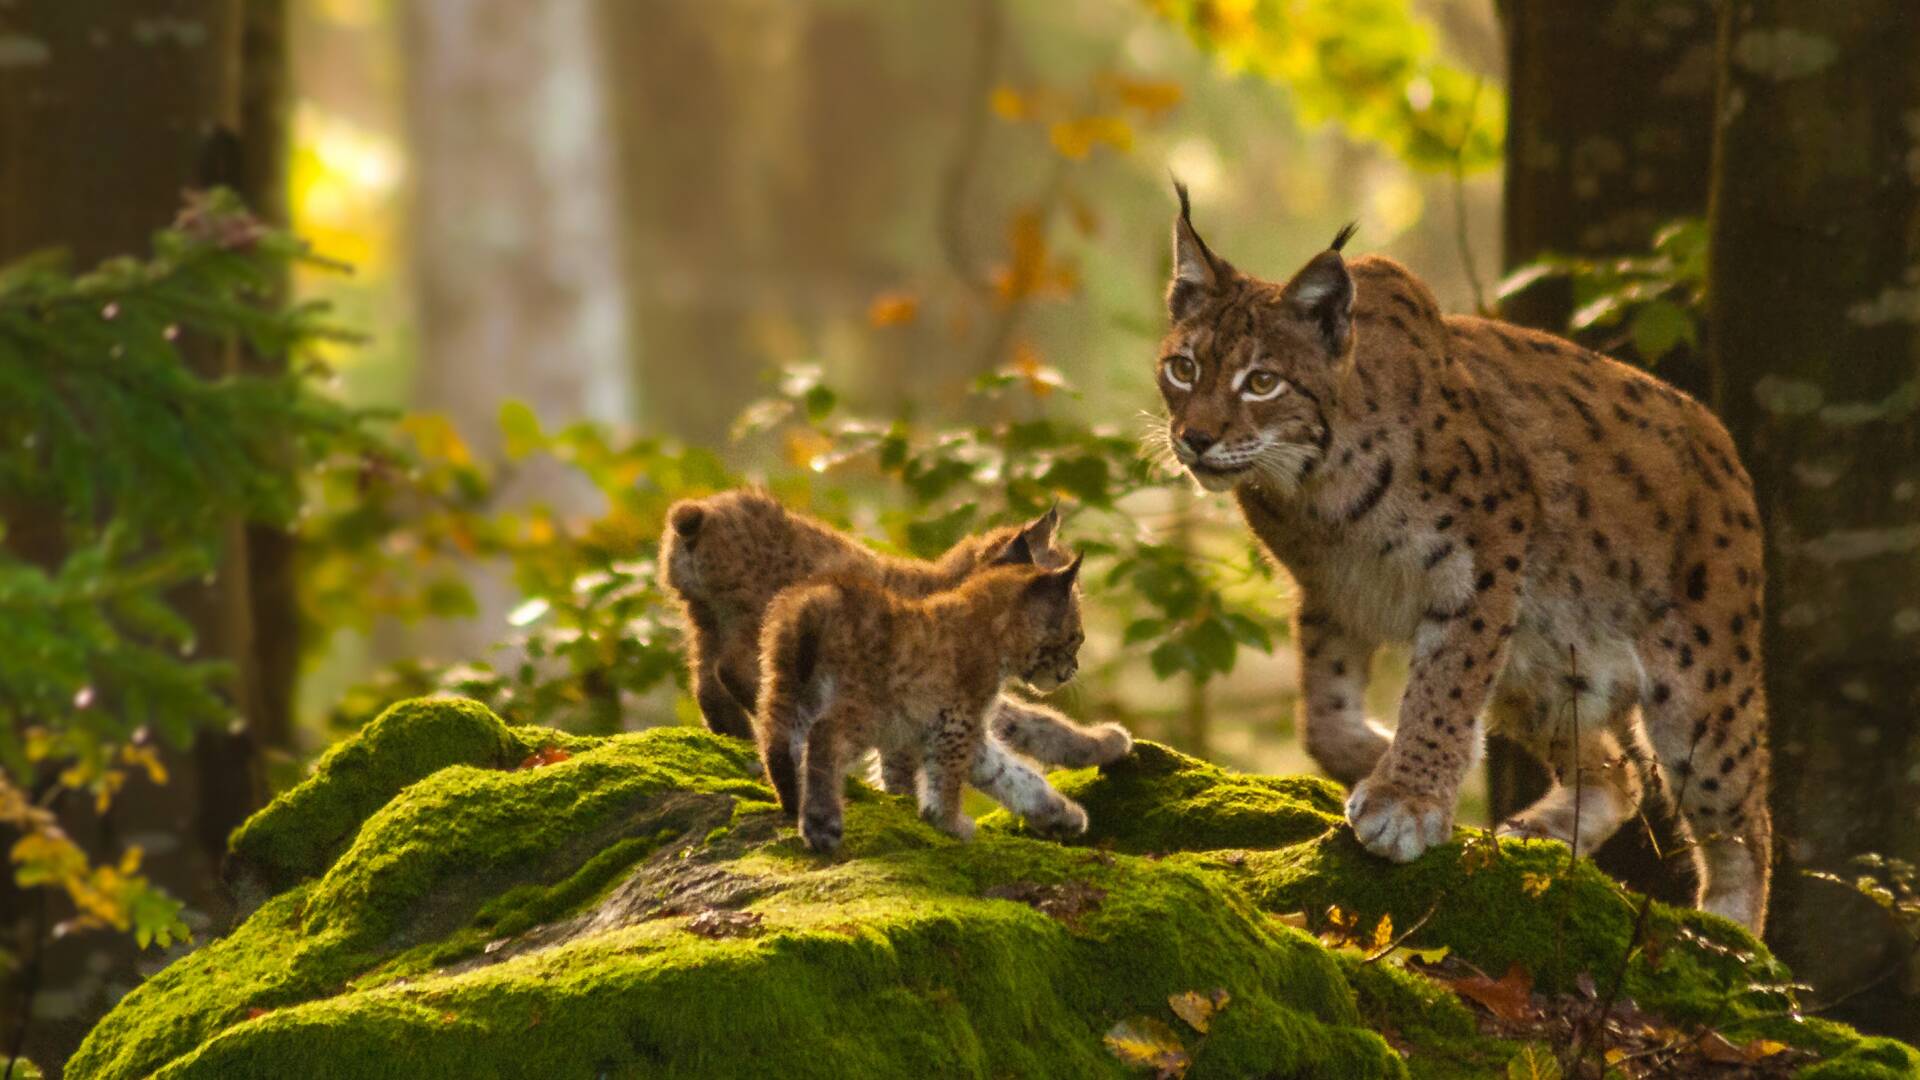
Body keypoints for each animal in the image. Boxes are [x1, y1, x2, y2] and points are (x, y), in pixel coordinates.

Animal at [752, 534, 1090, 849]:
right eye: (1076, 638)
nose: (1074, 669)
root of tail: (820, 595)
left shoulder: (964, 729)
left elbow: (1008, 771)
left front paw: (1061, 814)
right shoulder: (957, 720)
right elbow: (948, 777)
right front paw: (948, 822)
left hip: (784, 685)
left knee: (778, 742)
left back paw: (792, 800)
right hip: (865, 704)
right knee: (824, 734)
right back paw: (823, 824)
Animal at [1152, 184, 1766, 926]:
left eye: (1262, 382)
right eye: (1183, 369)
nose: (1196, 439)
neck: (1312, 486)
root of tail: (1715, 434)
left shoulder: (1485, 559)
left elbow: (1442, 684)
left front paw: (1406, 798)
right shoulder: (1334, 590)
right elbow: (1323, 715)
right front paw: (1378, 759)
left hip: (1698, 688)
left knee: (1747, 824)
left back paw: (1733, 932)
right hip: (1545, 665)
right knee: (1619, 775)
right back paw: (1542, 830)